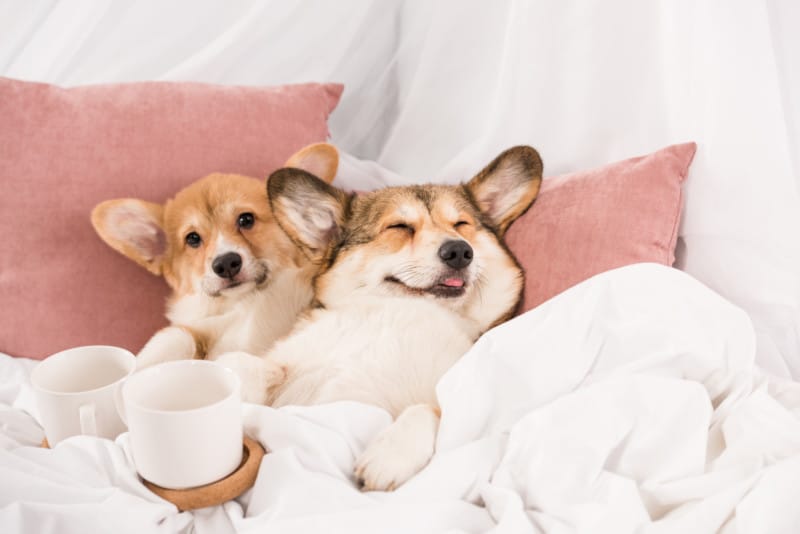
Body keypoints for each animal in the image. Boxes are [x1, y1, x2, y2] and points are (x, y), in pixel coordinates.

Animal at [92, 142, 340, 368]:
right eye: (192, 238)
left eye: (246, 219)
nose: (226, 263)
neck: (244, 304)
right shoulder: (201, 329)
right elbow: (175, 336)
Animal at [220, 144, 544, 492]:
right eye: (399, 227)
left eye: (461, 224)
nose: (459, 251)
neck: (399, 310)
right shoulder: (292, 359)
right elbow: (252, 364)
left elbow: (428, 410)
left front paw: (390, 455)